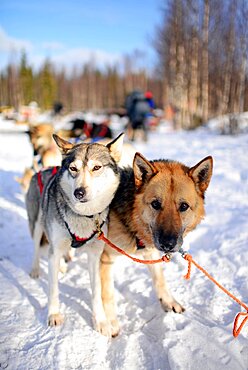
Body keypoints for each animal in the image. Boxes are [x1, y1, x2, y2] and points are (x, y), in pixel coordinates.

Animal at [25, 133, 124, 332]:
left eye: (96, 167)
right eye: (73, 168)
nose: (79, 192)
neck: (84, 215)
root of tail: (42, 169)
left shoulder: (94, 255)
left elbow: (96, 291)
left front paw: (100, 321)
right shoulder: (55, 249)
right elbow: (53, 288)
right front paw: (54, 314)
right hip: (38, 225)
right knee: (37, 247)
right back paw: (36, 269)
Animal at [99, 152, 213, 336]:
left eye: (183, 206)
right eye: (155, 204)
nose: (168, 244)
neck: (135, 224)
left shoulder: (150, 252)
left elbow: (159, 279)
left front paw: (168, 301)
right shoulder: (106, 258)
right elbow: (107, 293)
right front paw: (111, 322)